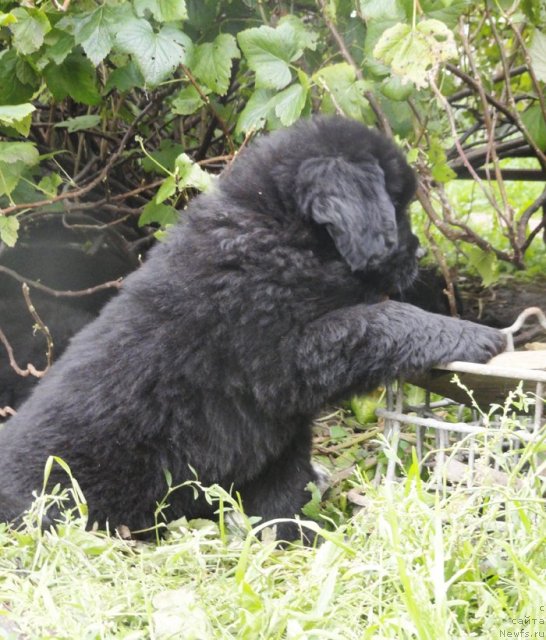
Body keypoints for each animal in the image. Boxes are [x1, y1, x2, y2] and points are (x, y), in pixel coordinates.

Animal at [0, 117, 504, 536]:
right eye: (397, 206)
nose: (419, 255)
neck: (275, 231)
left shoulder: (282, 430)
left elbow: (282, 491)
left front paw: (289, 542)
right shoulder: (285, 356)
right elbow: (373, 320)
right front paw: (474, 335)